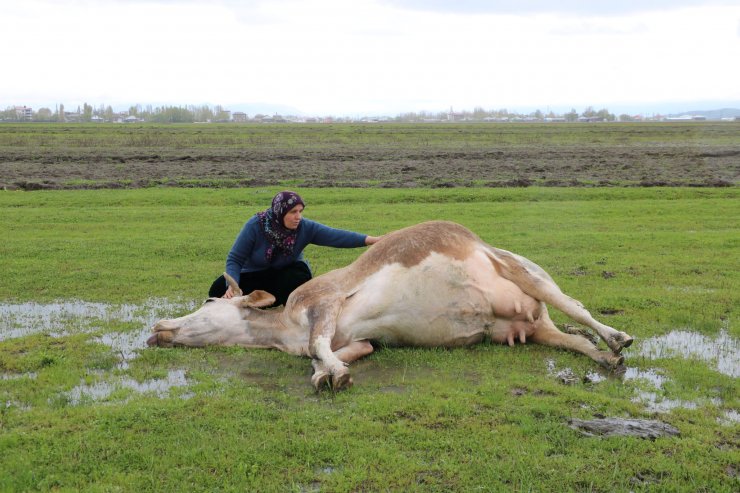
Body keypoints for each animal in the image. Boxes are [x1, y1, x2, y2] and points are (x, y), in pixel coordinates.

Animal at [147, 221, 632, 390]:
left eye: (207, 305)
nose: (159, 326)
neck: (284, 330)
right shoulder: (359, 340)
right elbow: (329, 354)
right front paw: (328, 373)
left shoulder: (324, 303)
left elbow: (318, 345)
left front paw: (334, 375)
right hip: (531, 328)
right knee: (573, 340)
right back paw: (607, 359)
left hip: (522, 272)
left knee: (578, 307)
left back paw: (618, 338)